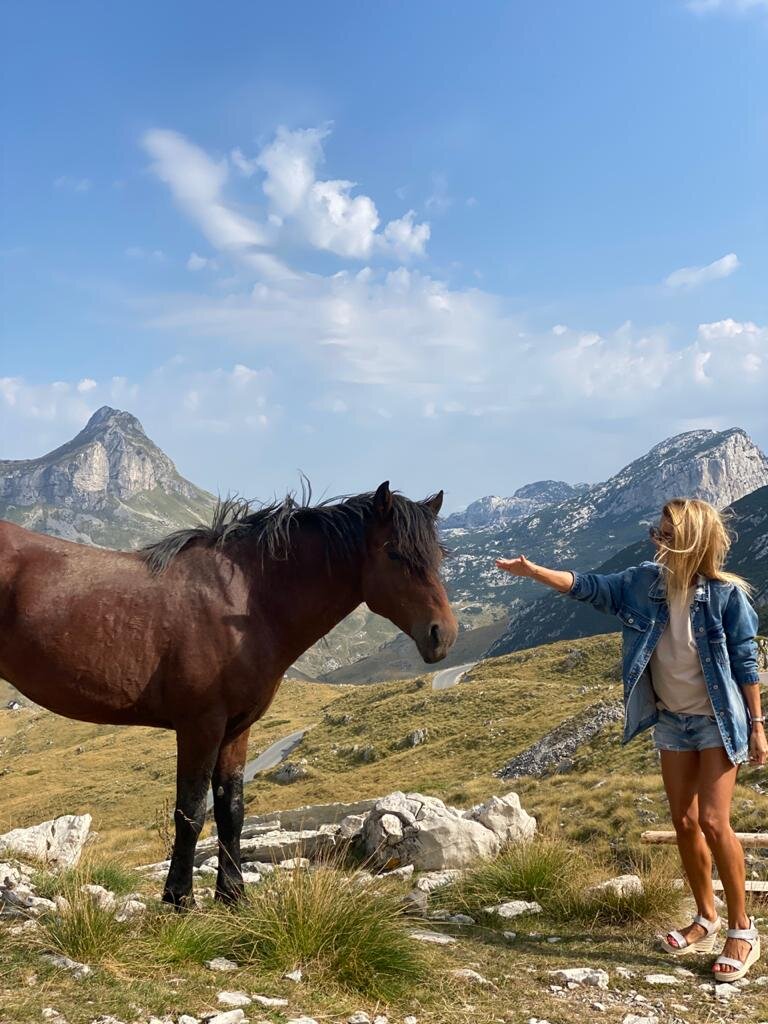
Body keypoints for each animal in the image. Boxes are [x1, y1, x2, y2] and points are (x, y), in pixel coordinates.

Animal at [0, 483, 456, 909]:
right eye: (394, 554)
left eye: (438, 556)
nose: (443, 635)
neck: (245, 603)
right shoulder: (200, 726)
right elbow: (191, 811)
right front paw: (179, 898)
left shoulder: (237, 728)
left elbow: (231, 810)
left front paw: (233, 895)